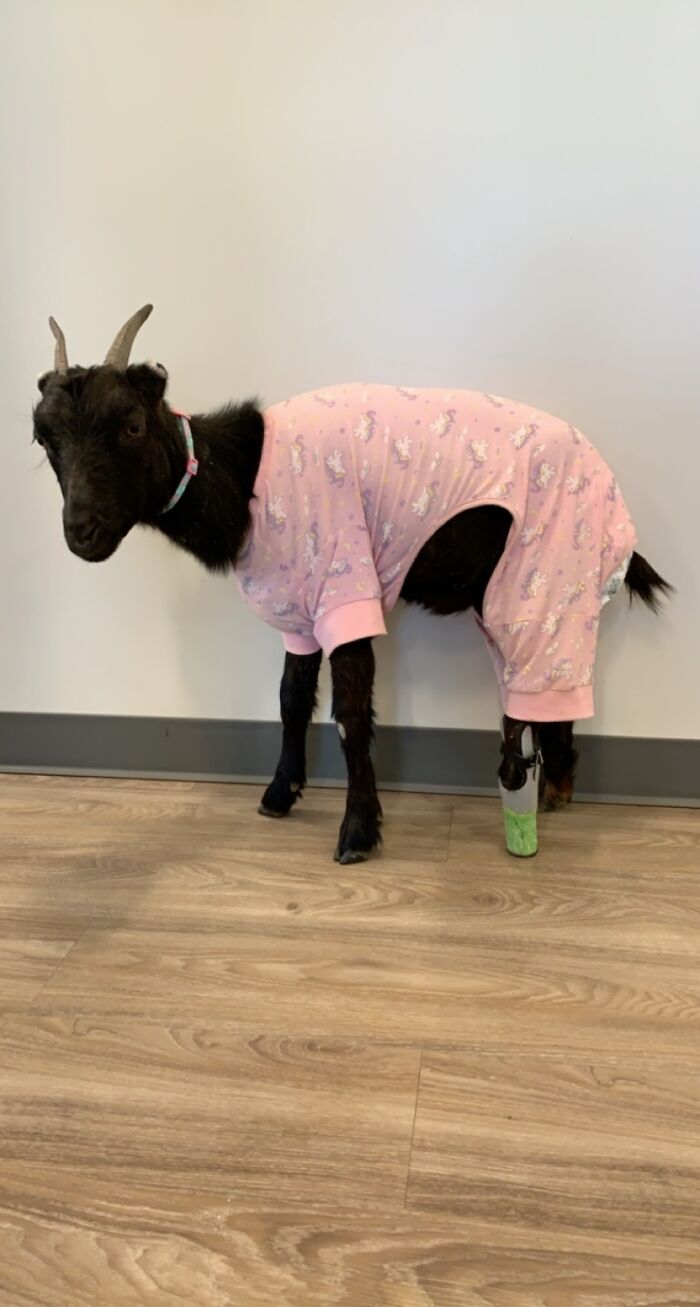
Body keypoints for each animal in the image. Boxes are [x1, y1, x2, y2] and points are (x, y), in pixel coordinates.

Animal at [33, 305, 671, 862]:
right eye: (44, 440)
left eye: (132, 425)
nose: (81, 532)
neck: (242, 479)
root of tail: (619, 510)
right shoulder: (298, 603)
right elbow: (291, 699)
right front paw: (278, 794)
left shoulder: (345, 583)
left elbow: (350, 713)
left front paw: (358, 833)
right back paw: (555, 786)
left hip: (543, 577)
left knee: (537, 689)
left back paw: (535, 793)